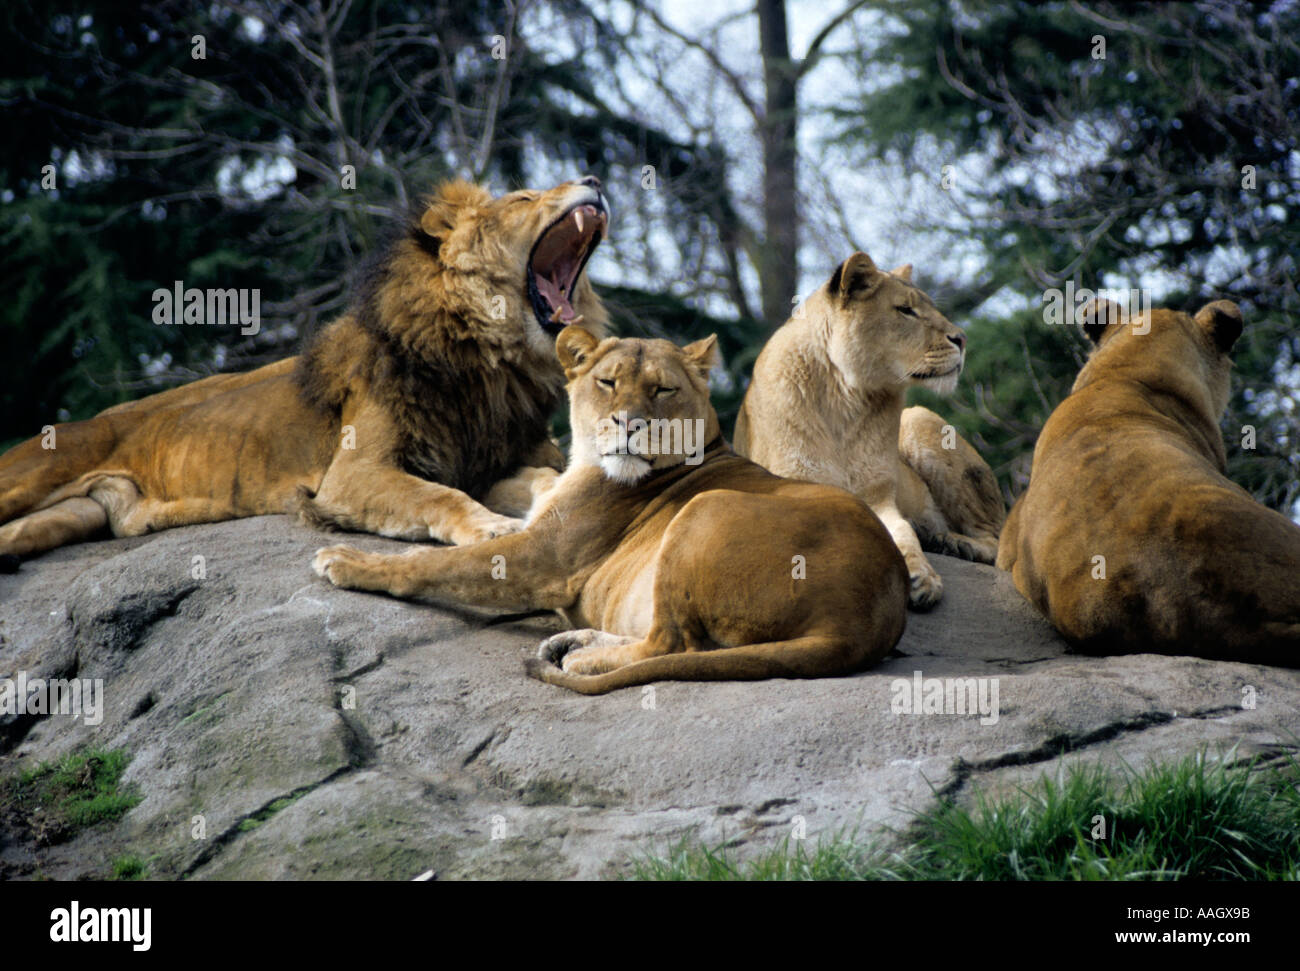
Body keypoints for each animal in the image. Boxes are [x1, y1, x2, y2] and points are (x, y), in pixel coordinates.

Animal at [0, 174, 608, 561]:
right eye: (525, 197)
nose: (596, 179)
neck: (491, 361)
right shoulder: (352, 474)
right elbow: (440, 496)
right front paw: (491, 528)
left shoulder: (489, 462)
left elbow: (544, 478)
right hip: (36, 472)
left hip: (75, 516)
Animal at [314, 330, 909, 696]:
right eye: (607, 382)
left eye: (663, 390)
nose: (629, 423)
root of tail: (860, 622)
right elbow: (526, 487)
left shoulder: (541, 558)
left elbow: (430, 565)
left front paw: (346, 561)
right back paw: (576, 643)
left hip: (704, 509)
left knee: (671, 643)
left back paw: (581, 656)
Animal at [733, 254, 1003, 610]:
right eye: (905, 310)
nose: (962, 339)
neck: (845, 399)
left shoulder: (878, 498)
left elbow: (902, 533)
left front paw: (923, 578)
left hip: (919, 421)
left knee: (997, 542)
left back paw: (953, 543)